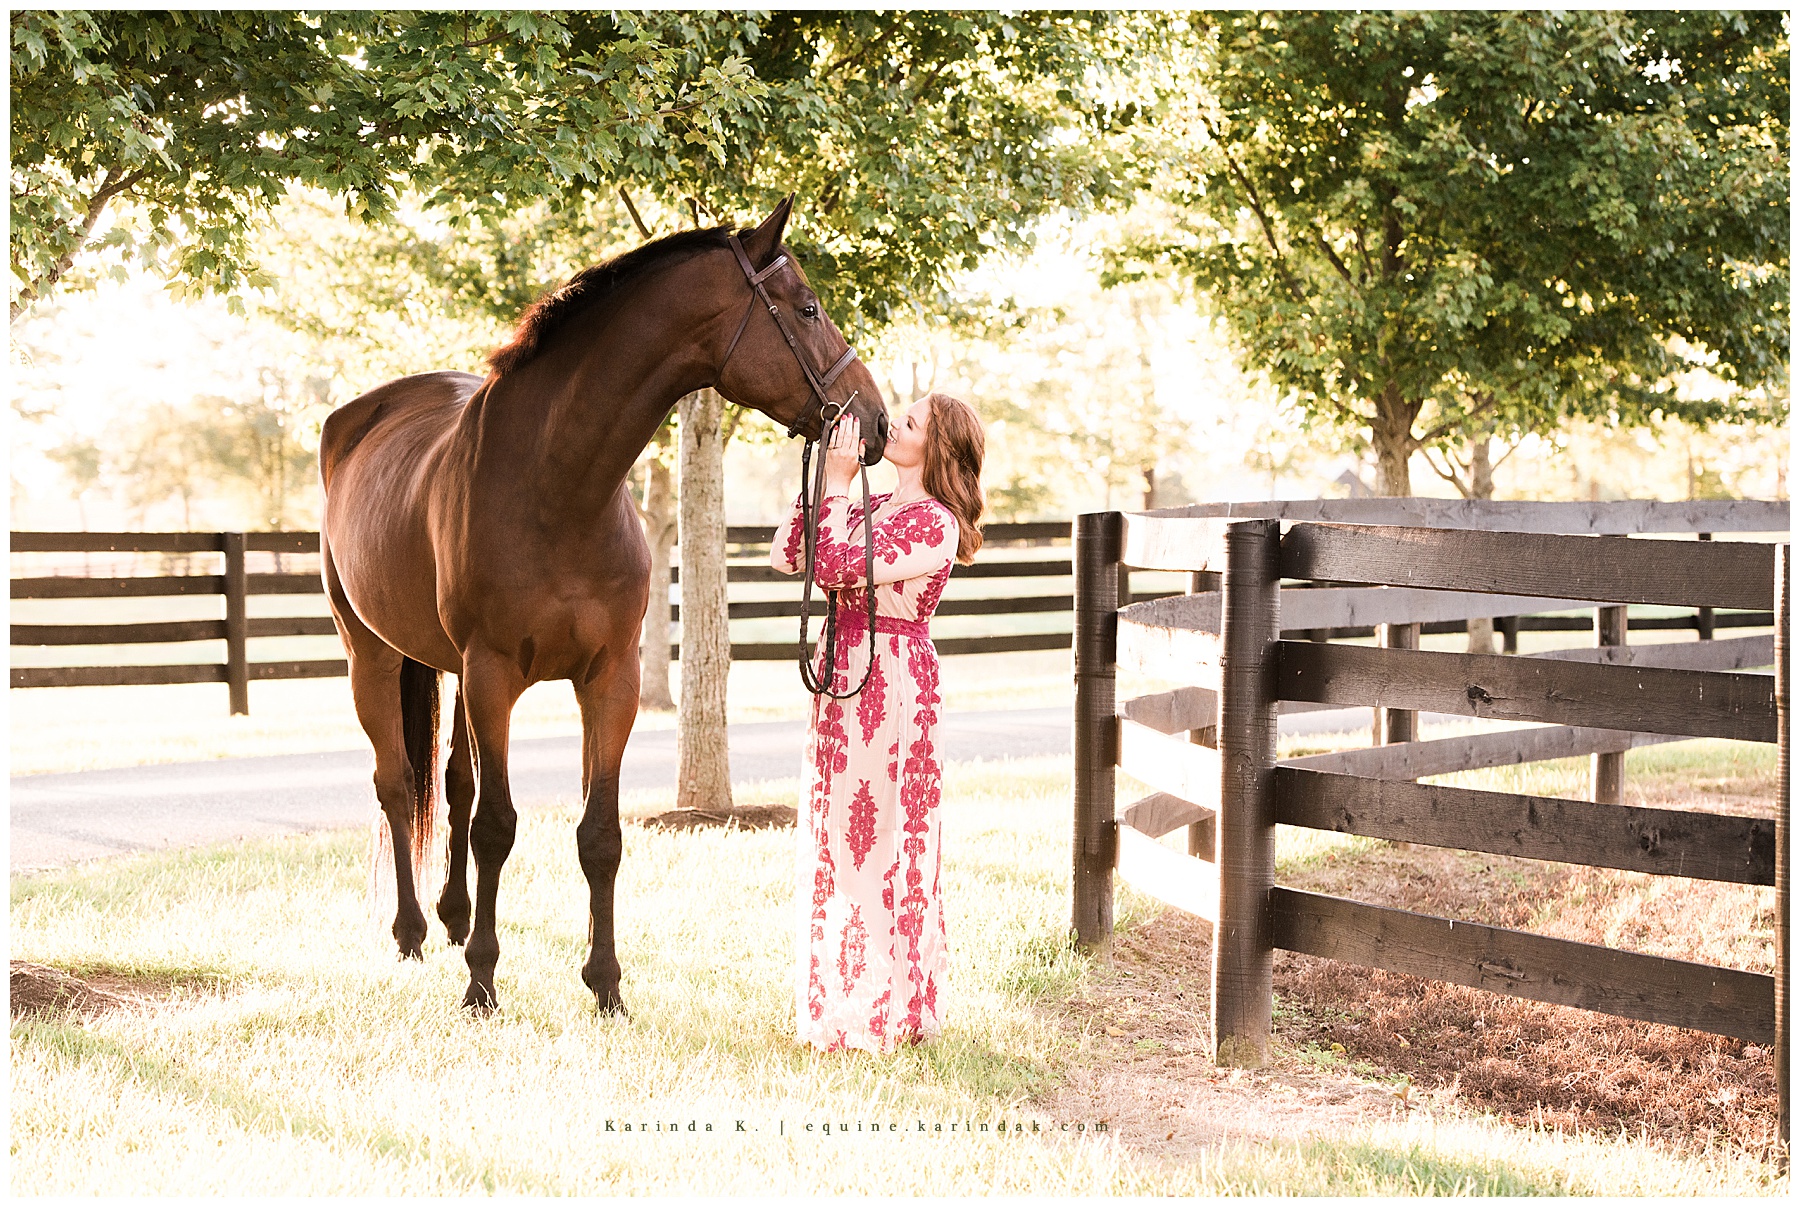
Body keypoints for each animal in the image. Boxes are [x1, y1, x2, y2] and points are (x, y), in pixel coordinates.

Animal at [317, 198, 889, 1013]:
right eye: (806, 307)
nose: (874, 422)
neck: (556, 486)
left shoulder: (610, 680)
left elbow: (599, 834)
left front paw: (606, 982)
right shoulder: (493, 676)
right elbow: (497, 826)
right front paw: (483, 983)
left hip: (450, 670)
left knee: (452, 786)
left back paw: (453, 917)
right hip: (373, 655)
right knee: (398, 786)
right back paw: (412, 930)